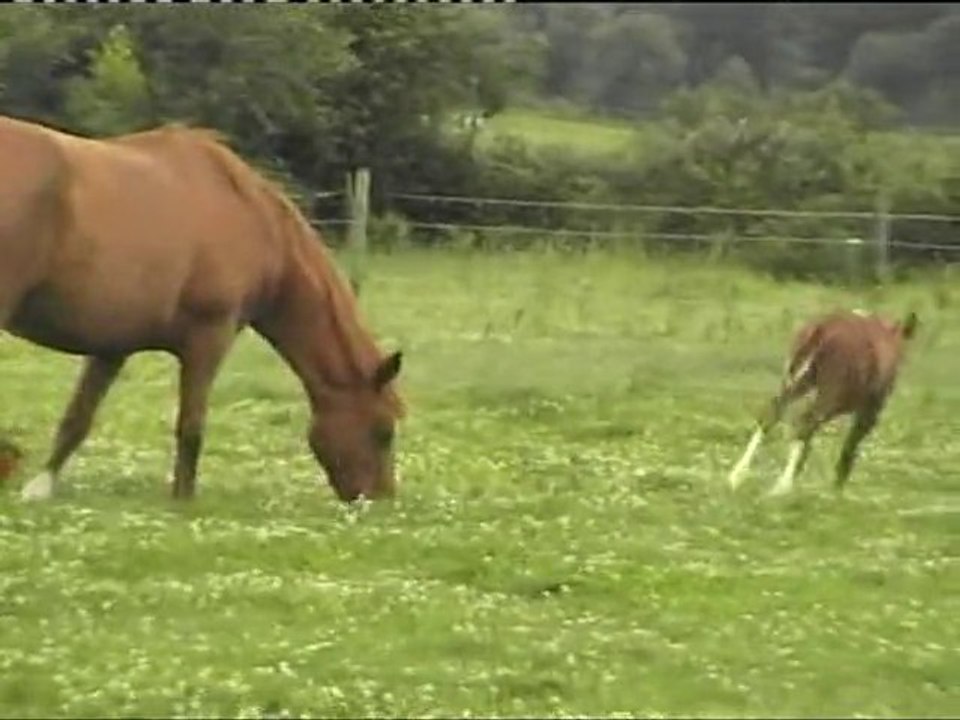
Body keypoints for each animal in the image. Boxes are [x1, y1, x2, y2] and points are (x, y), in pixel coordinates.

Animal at [0, 114, 405, 504]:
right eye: (383, 431)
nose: (379, 500)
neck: (250, 217)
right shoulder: (210, 336)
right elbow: (191, 425)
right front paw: (183, 499)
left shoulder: (113, 346)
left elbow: (77, 418)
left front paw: (40, 488)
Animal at [728, 309, 918, 496]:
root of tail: (822, 330)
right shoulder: (870, 410)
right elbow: (849, 448)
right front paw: (837, 488)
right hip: (826, 398)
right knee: (804, 427)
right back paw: (782, 486)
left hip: (792, 384)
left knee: (771, 418)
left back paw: (736, 476)